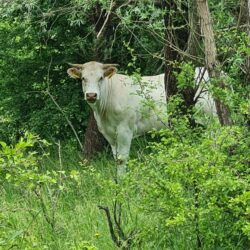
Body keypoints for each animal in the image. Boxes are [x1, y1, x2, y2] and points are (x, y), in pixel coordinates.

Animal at [67, 61, 216, 176]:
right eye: (83, 78)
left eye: (101, 78)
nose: (91, 95)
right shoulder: (109, 134)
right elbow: (116, 158)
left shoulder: (125, 130)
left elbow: (122, 159)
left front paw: (122, 183)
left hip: (211, 119)